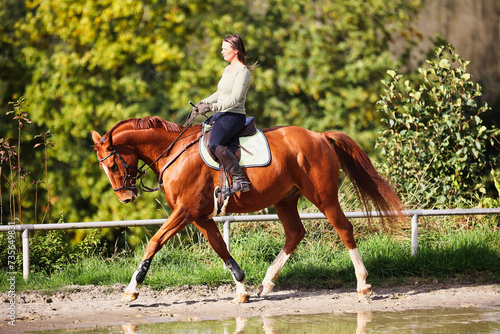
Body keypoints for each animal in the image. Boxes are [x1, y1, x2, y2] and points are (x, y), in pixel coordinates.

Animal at [92, 116, 404, 304]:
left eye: (112, 164)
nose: (125, 198)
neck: (173, 152)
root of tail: (319, 136)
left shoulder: (185, 211)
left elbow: (154, 242)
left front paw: (132, 289)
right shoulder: (199, 216)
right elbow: (220, 248)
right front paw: (242, 288)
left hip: (323, 197)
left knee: (344, 229)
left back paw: (363, 284)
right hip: (285, 200)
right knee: (295, 233)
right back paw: (266, 283)